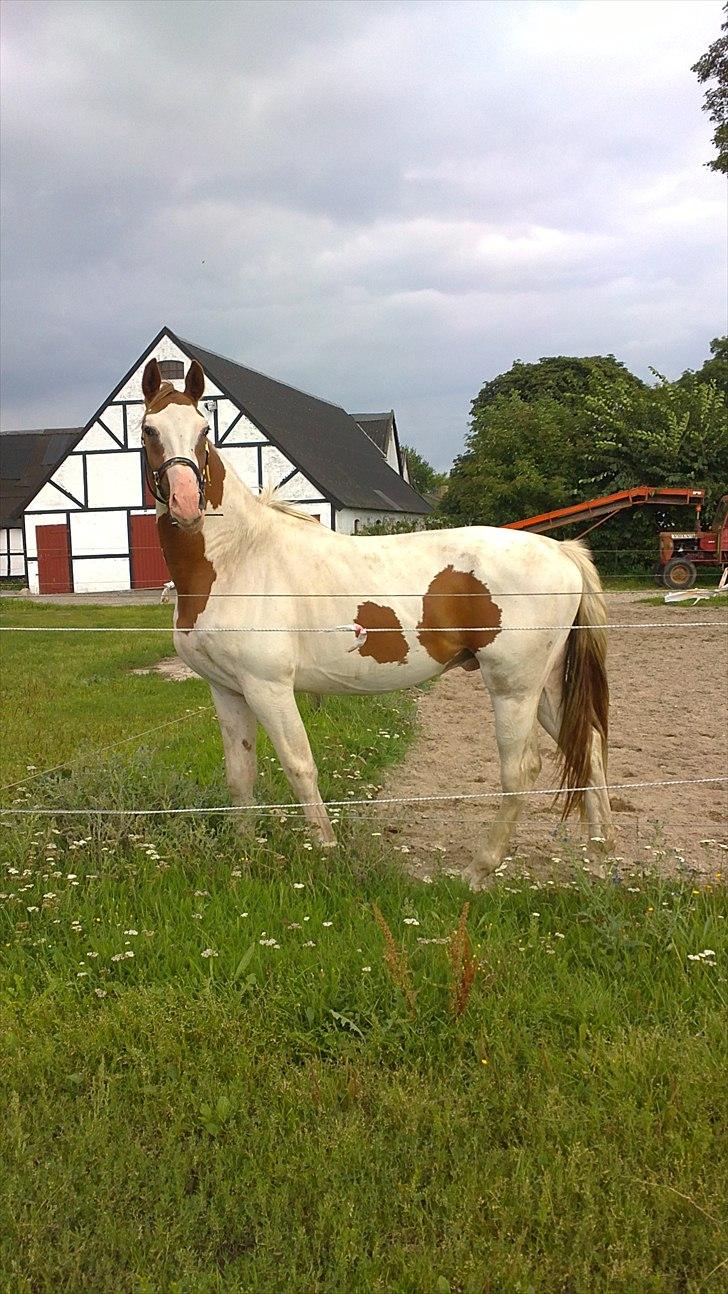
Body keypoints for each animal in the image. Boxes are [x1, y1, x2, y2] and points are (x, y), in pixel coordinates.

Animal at [139, 362, 612, 890]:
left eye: (204, 431)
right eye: (149, 430)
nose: (186, 504)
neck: (236, 557)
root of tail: (561, 551)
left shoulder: (269, 687)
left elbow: (299, 766)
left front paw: (324, 851)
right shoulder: (227, 689)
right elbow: (240, 775)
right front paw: (243, 856)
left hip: (514, 687)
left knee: (522, 770)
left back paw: (478, 871)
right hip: (547, 686)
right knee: (589, 749)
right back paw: (598, 859)